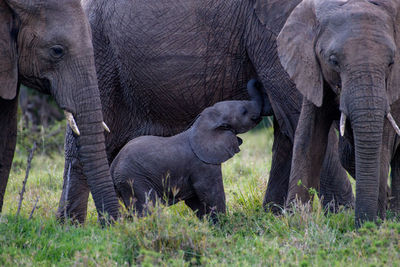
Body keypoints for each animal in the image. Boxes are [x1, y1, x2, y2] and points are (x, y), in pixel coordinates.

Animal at [110, 79, 266, 222]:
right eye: (244, 111)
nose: (256, 81)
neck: (203, 123)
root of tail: (113, 166)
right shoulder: (203, 164)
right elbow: (211, 192)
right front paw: (223, 224)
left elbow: (195, 200)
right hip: (133, 179)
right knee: (148, 207)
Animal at [276, 0, 400, 228]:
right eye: (333, 60)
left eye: (391, 63)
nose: (364, 225)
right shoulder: (314, 73)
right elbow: (309, 138)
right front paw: (295, 223)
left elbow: (383, 143)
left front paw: (375, 226)